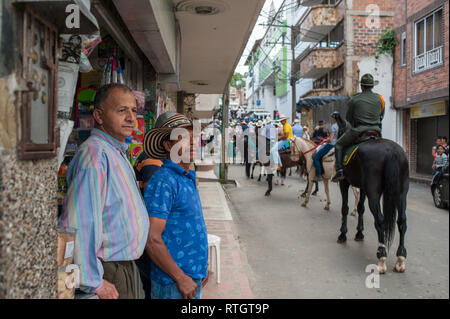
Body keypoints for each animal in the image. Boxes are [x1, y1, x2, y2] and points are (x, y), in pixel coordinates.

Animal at [338, 135, 408, 276]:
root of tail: (391, 151)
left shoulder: (344, 182)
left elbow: (345, 208)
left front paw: (343, 234)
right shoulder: (362, 187)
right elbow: (360, 208)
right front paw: (359, 233)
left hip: (374, 193)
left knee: (380, 220)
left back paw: (381, 257)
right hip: (401, 193)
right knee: (402, 220)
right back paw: (400, 259)